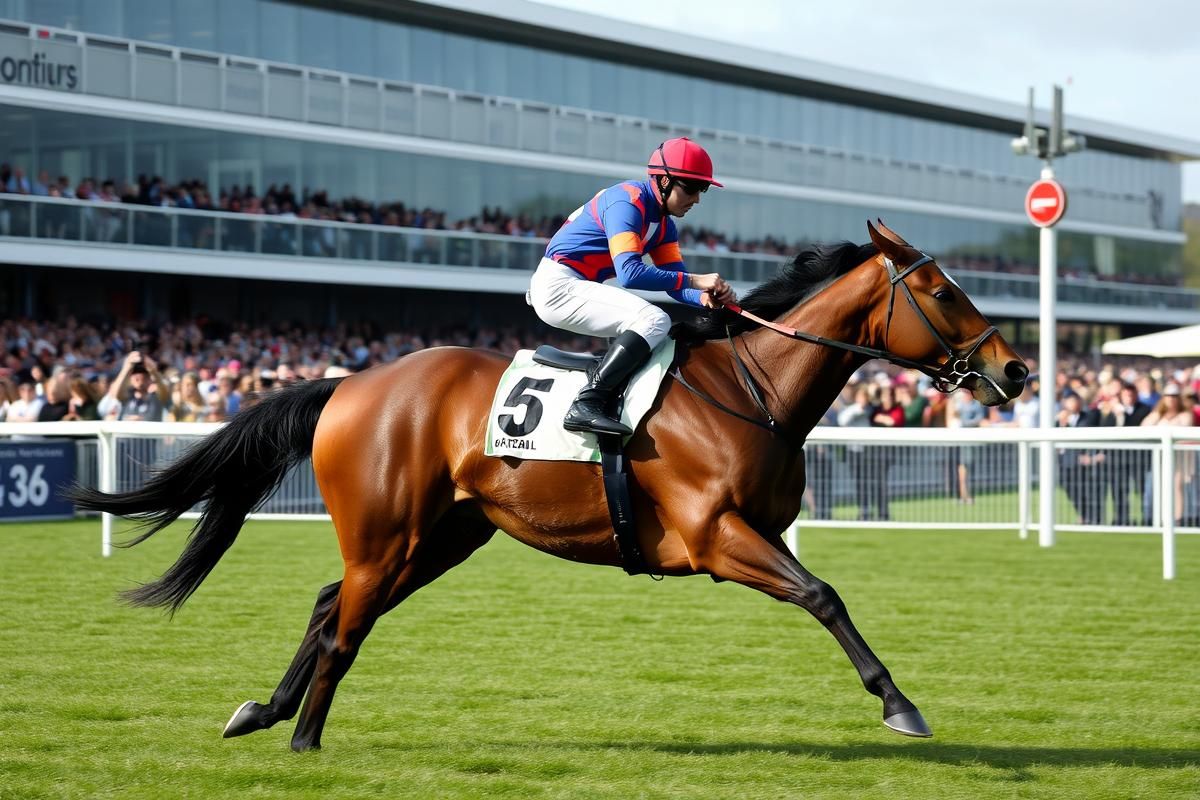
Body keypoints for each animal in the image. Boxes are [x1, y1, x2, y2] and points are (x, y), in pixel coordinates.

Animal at [68, 220, 1027, 751]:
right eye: (941, 288)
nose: (1016, 372)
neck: (749, 389)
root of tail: (349, 383)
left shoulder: (747, 531)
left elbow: (823, 592)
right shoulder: (716, 536)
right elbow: (825, 595)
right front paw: (900, 704)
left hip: (440, 537)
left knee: (332, 604)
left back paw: (264, 713)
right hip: (389, 533)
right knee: (344, 624)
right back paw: (302, 737)